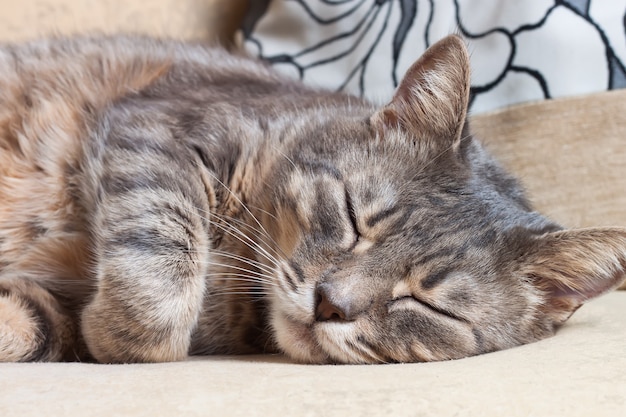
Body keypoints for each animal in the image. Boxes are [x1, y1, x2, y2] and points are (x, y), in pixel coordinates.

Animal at [1, 34, 624, 362]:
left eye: (429, 304)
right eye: (352, 217)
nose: (331, 304)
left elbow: (40, 324)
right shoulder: (160, 126)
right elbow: (163, 259)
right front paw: (122, 331)